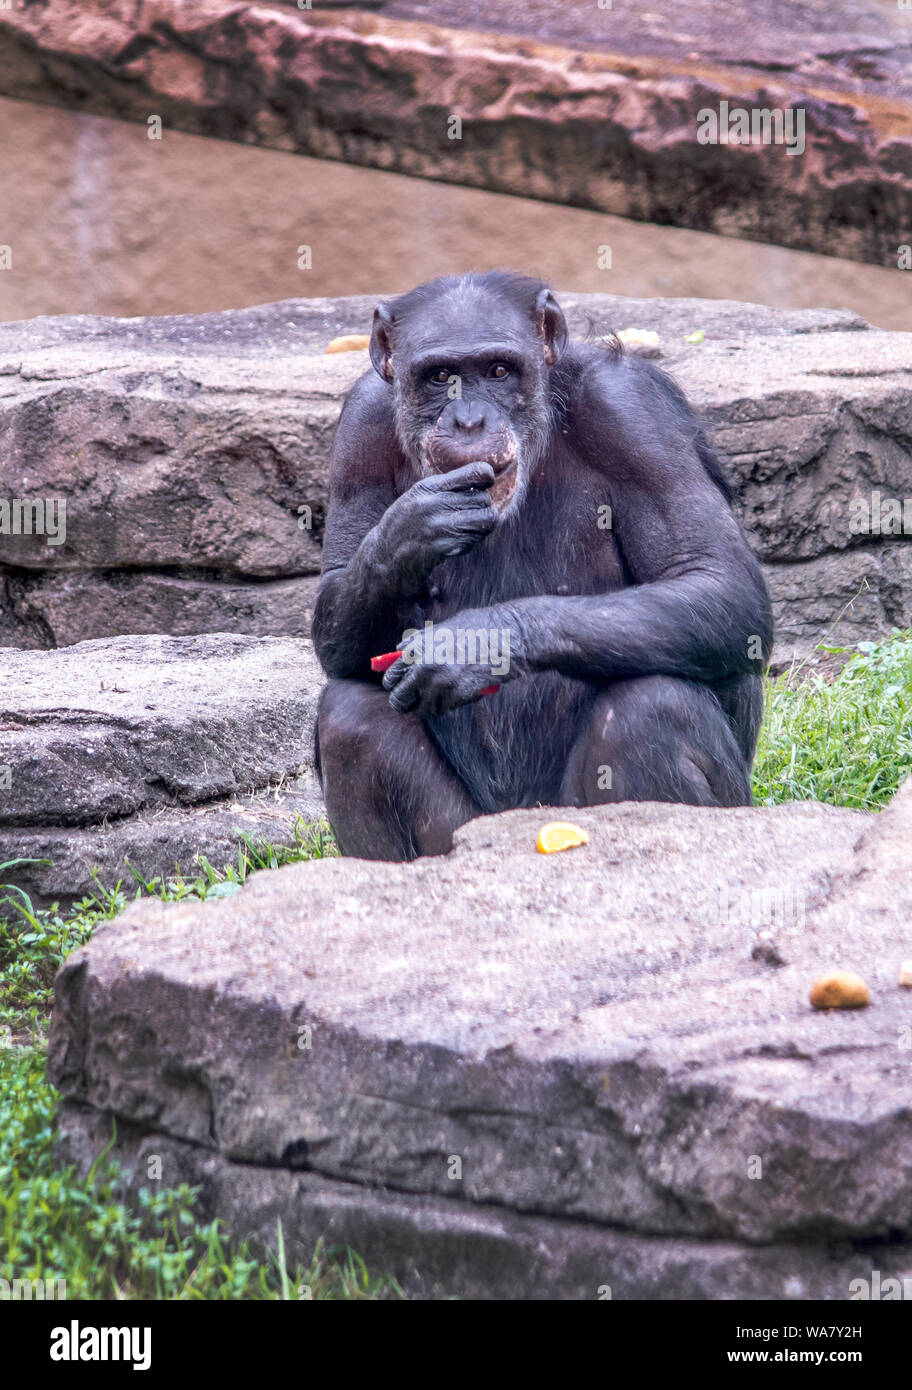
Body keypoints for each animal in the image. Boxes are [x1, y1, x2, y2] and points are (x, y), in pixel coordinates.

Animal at [311, 269, 767, 856]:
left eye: (499, 370)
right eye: (440, 377)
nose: (469, 420)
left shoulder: (634, 414)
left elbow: (715, 576)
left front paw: (475, 644)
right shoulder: (360, 430)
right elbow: (337, 617)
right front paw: (409, 529)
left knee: (651, 708)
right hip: (463, 829)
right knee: (351, 719)